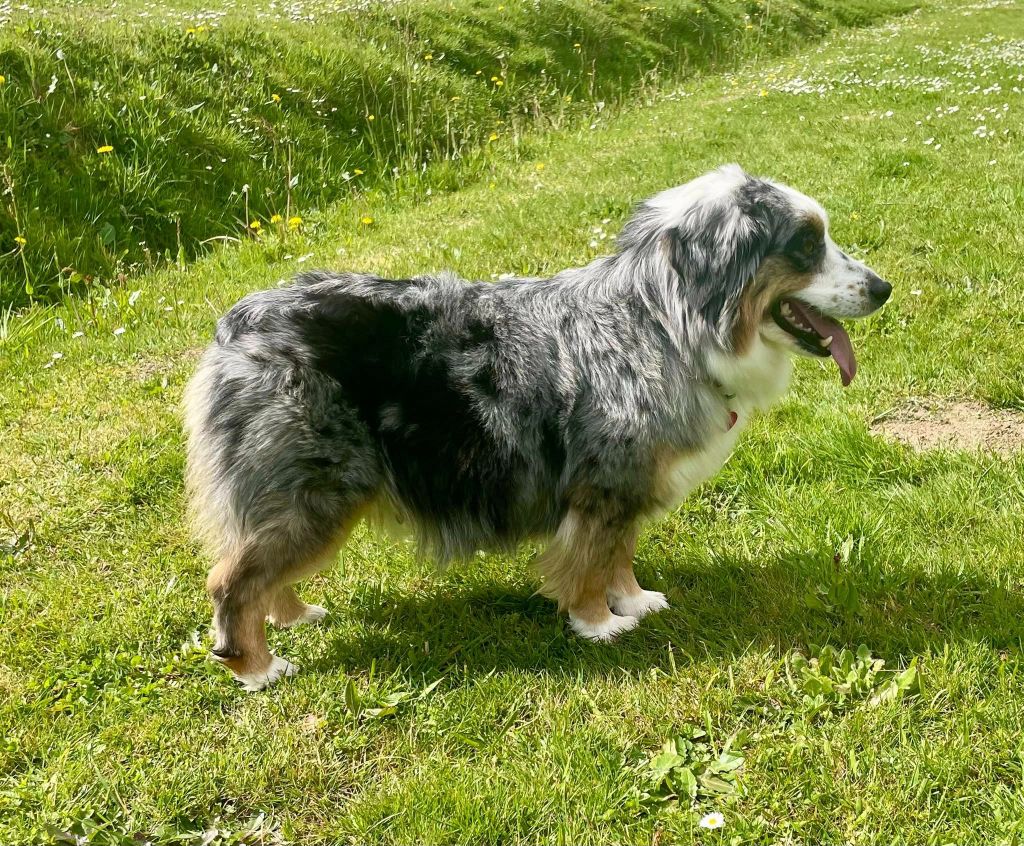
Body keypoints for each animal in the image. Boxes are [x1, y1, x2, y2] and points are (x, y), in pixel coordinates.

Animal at [183, 164, 892, 690]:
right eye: (805, 244)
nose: (883, 288)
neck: (663, 321)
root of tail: (236, 326)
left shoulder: (626, 485)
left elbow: (619, 554)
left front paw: (634, 600)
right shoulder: (602, 486)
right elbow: (588, 562)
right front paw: (597, 623)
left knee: (259, 571)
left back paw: (294, 615)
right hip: (315, 494)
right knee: (231, 579)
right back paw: (256, 666)